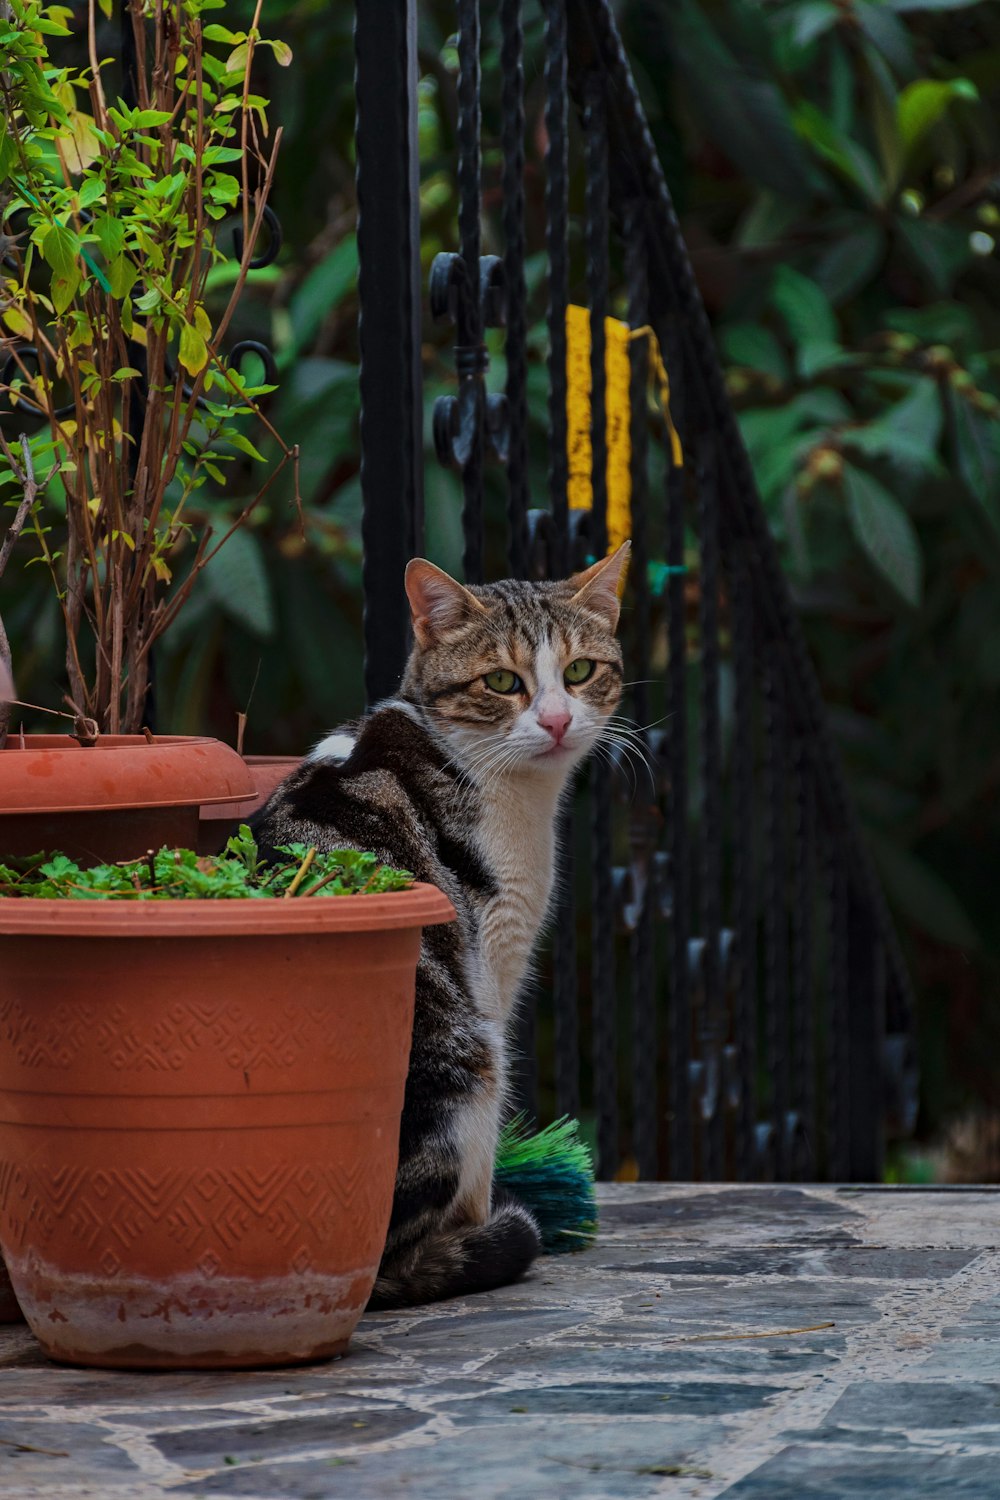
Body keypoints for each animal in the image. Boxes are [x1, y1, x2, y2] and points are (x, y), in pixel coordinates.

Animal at [250, 546, 626, 1308]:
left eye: (578, 671)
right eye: (503, 682)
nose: (556, 721)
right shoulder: (495, 958)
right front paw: (486, 1223)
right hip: (463, 1057)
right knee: (400, 1260)